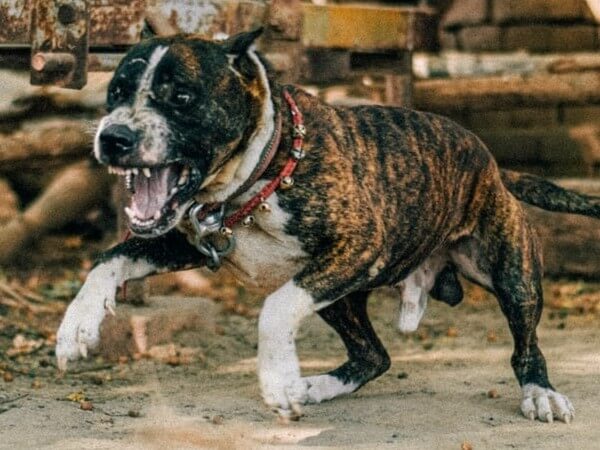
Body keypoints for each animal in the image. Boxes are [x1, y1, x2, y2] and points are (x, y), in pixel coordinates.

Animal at [56, 29, 600, 424]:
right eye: (115, 93)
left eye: (182, 97)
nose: (113, 137)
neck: (262, 173)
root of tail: (492, 165)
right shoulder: (187, 240)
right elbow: (109, 258)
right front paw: (76, 326)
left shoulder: (360, 244)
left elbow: (274, 311)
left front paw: (277, 379)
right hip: (339, 299)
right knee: (373, 355)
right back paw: (316, 385)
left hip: (510, 274)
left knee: (525, 345)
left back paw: (541, 394)